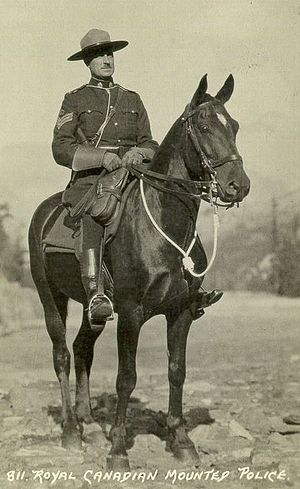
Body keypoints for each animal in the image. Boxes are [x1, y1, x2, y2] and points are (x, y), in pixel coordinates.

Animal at [28, 74, 250, 468]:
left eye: (234, 126)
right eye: (204, 126)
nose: (238, 185)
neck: (163, 225)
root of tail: (46, 210)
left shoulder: (181, 312)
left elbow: (177, 371)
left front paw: (181, 440)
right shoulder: (131, 313)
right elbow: (126, 378)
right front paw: (118, 449)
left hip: (93, 307)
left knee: (82, 347)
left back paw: (87, 421)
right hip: (50, 297)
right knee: (62, 355)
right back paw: (71, 430)